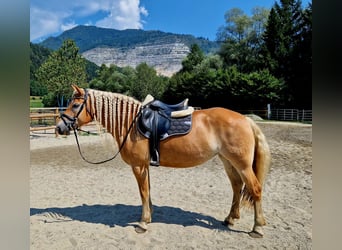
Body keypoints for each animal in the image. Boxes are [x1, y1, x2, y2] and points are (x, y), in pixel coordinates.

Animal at [56, 85, 272, 237]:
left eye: (75, 105)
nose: (59, 127)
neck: (130, 124)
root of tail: (245, 119)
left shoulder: (138, 166)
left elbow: (143, 192)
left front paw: (143, 223)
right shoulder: (145, 166)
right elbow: (148, 191)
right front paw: (149, 216)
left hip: (242, 164)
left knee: (255, 189)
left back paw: (257, 228)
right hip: (228, 161)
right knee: (237, 186)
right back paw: (230, 219)